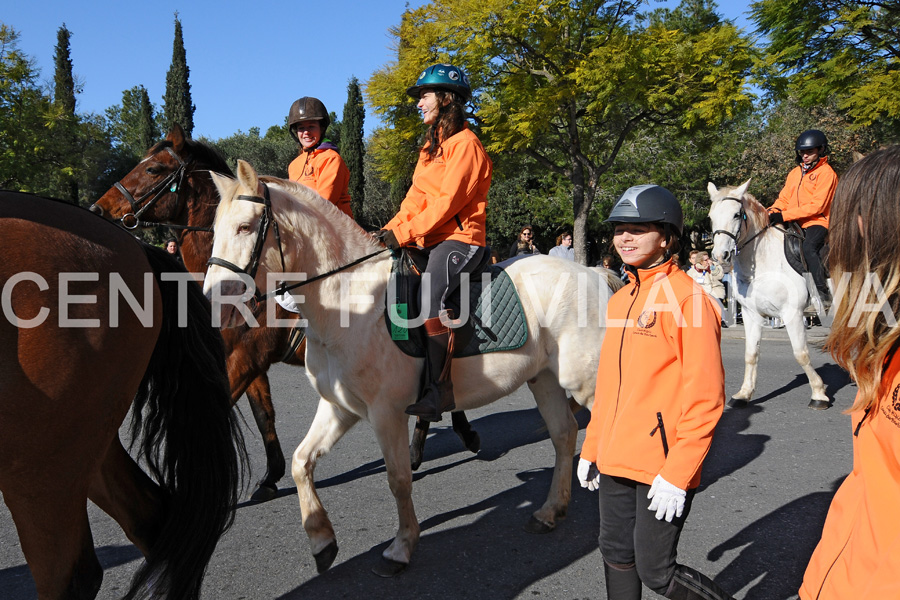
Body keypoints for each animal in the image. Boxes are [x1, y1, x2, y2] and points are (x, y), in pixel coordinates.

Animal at [0, 192, 246, 600]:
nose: (104, 206)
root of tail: (133, 245)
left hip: (40, 459)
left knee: (71, 574)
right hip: (83, 439)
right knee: (150, 519)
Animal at [201, 162, 620, 576]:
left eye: (245, 227)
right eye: (215, 230)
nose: (211, 304)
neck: (349, 303)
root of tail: (592, 273)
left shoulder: (386, 413)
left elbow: (399, 479)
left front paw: (401, 547)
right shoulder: (339, 406)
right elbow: (302, 462)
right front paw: (322, 540)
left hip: (585, 383)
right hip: (545, 378)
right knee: (564, 434)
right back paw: (550, 511)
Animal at [712, 180, 828, 410]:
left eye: (736, 215)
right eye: (711, 216)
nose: (720, 256)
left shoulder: (793, 314)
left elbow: (801, 354)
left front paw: (819, 394)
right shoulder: (751, 314)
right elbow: (751, 354)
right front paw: (744, 394)